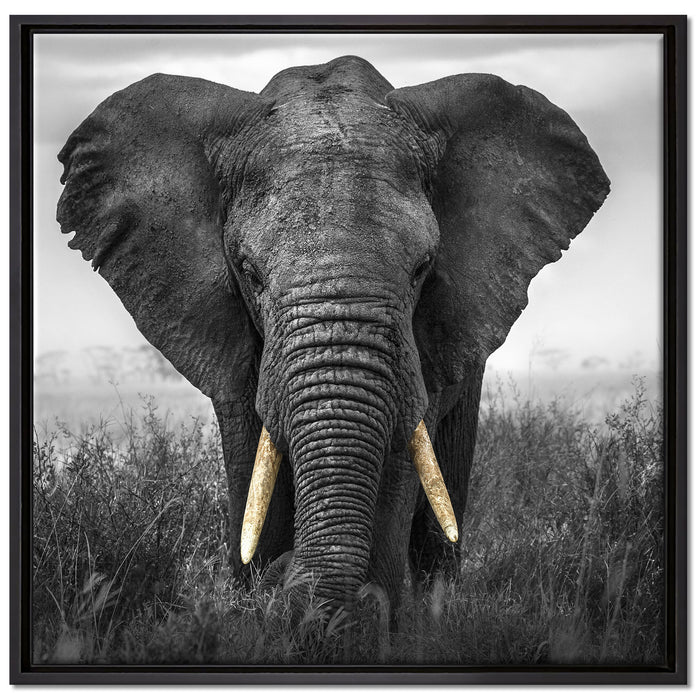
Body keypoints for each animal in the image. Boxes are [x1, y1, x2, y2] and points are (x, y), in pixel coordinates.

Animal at [56, 55, 609, 616]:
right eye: (249, 272)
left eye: (422, 269)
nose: (285, 579)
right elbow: (251, 454)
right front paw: (258, 601)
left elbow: (401, 451)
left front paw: (365, 615)